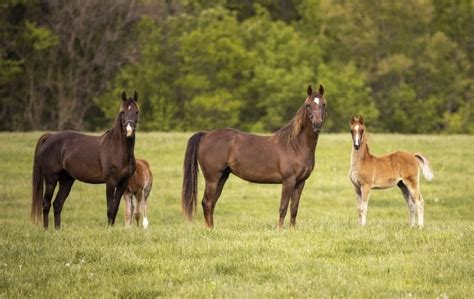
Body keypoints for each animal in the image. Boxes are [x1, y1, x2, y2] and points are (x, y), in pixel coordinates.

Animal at [30, 91, 139, 230]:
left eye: (136, 111)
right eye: (123, 112)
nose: (129, 130)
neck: (117, 149)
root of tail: (51, 136)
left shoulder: (123, 184)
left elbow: (115, 209)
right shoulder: (110, 182)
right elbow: (110, 209)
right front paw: (109, 230)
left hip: (66, 180)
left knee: (57, 204)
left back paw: (57, 230)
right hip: (51, 179)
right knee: (46, 204)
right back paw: (46, 230)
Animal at [181, 83, 326, 229]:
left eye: (323, 104)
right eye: (308, 105)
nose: (317, 124)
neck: (295, 145)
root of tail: (206, 134)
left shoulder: (300, 182)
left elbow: (294, 208)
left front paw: (292, 229)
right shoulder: (288, 181)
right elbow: (283, 207)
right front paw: (280, 229)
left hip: (222, 177)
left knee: (211, 203)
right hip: (212, 178)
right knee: (207, 202)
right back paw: (210, 229)